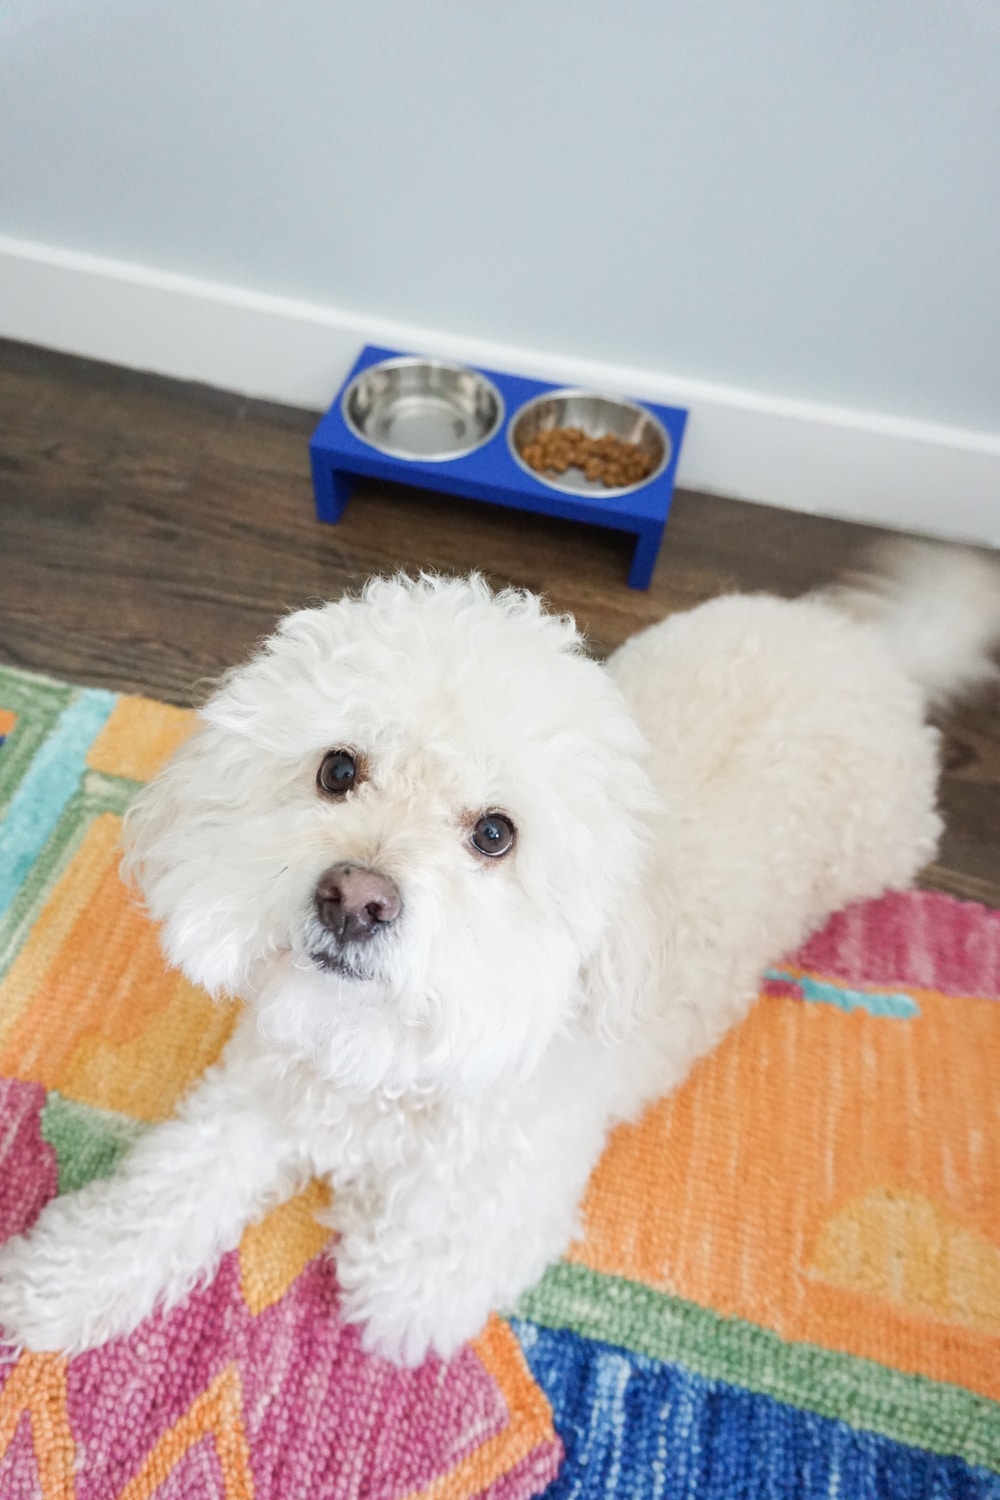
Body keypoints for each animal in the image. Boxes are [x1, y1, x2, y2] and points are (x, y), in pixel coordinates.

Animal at [0, 546, 995, 1368]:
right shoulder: (247, 1103)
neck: (383, 1058)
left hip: (888, 841)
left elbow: (410, 1278)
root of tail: (869, 646)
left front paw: (372, 1231)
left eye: (494, 833)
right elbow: (161, 1196)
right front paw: (61, 1280)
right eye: (337, 769)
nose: (355, 898)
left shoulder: (508, 1188)